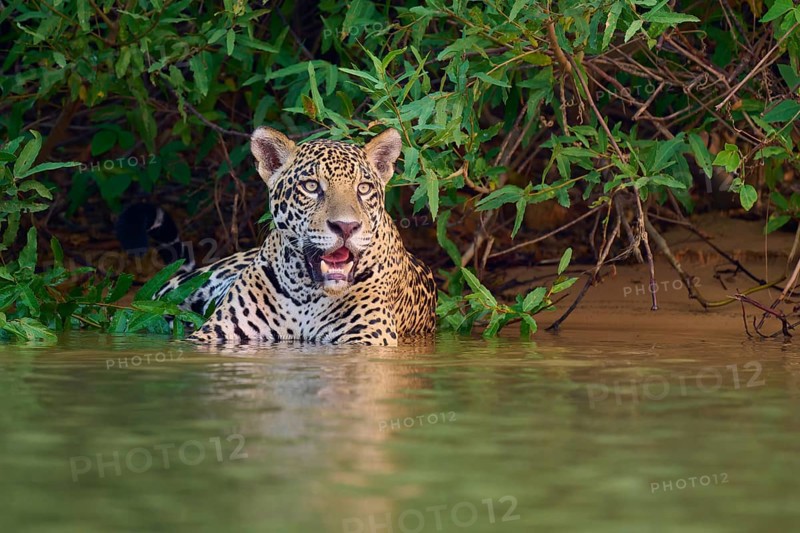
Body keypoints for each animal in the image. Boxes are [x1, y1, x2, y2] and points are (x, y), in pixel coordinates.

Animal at [155, 127, 437, 346]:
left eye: (364, 188)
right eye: (311, 186)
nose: (346, 227)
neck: (306, 294)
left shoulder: (368, 338)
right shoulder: (217, 332)